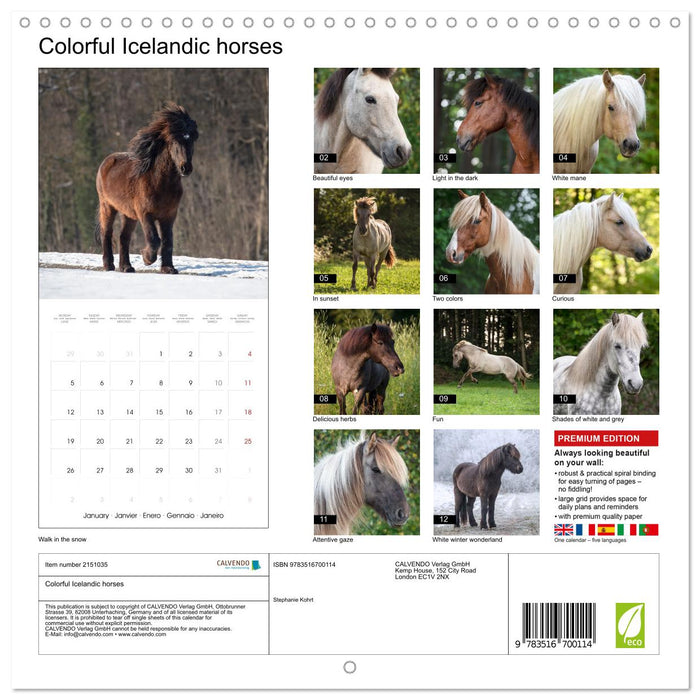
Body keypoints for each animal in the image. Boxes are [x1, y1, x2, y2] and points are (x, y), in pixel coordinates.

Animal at [95, 103, 198, 274]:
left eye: (192, 141)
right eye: (174, 141)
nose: (186, 168)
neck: (159, 182)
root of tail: (107, 161)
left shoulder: (169, 216)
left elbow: (168, 241)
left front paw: (168, 268)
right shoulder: (145, 214)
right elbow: (154, 239)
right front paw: (147, 258)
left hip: (128, 214)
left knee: (124, 237)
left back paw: (126, 267)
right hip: (108, 206)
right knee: (107, 233)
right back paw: (109, 265)